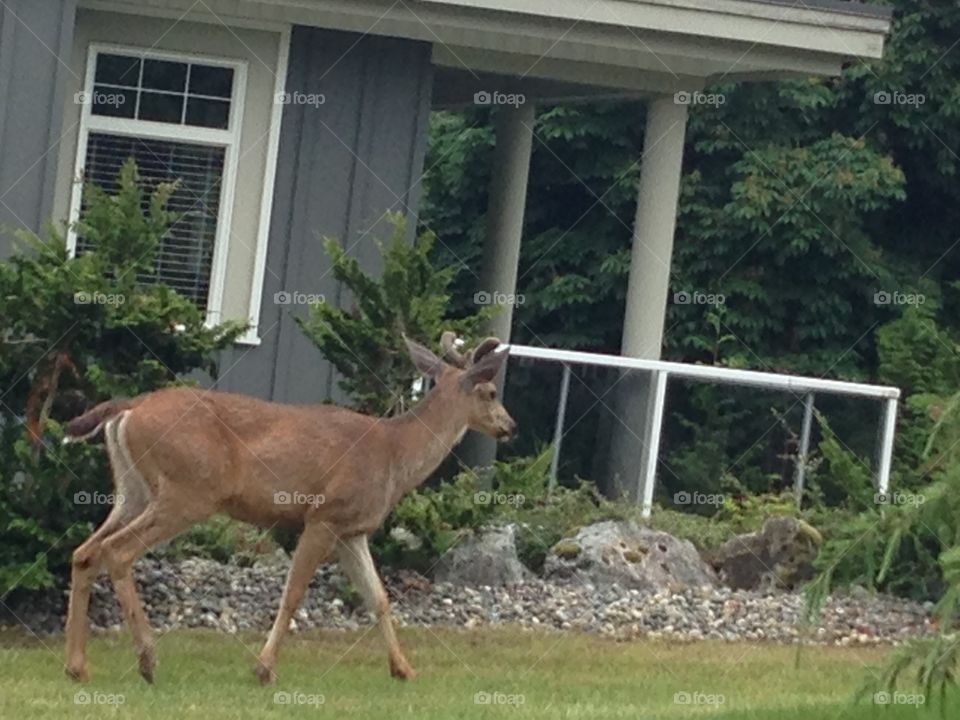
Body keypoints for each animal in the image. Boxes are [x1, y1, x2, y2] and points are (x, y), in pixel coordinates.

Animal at [62, 332, 512, 688]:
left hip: (133, 490)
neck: (394, 453)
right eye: (491, 393)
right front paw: (264, 669)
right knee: (117, 551)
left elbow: (379, 597)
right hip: (188, 491)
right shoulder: (324, 516)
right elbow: (293, 594)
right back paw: (147, 661)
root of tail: (129, 409)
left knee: (85, 552)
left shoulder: (353, 530)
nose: (510, 426)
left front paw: (403, 669)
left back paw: (77, 667)